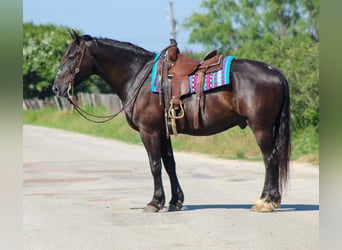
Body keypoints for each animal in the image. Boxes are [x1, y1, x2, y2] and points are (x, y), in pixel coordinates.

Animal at [52, 30, 290, 212]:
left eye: (72, 56)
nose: (57, 87)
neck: (138, 76)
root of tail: (275, 72)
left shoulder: (149, 132)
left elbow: (155, 165)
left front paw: (155, 202)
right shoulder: (162, 132)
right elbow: (170, 165)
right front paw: (175, 201)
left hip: (261, 128)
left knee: (270, 159)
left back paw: (266, 202)